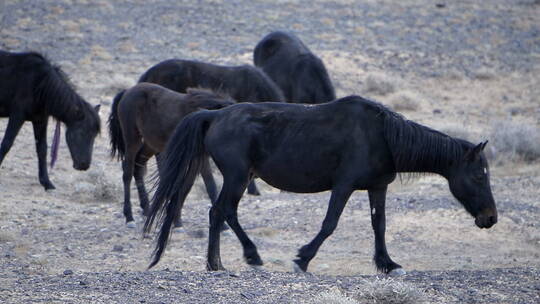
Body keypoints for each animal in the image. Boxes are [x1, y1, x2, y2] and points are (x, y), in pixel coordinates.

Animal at [0, 50, 101, 189]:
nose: (84, 165)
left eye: (95, 135)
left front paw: (46, 182)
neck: (40, 84)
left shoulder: (40, 120)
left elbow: (42, 149)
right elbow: (6, 143)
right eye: (81, 133)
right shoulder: (17, 116)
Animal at [109, 82, 234, 227]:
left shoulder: (197, 157)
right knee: (127, 173)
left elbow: (189, 186)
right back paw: (129, 217)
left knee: (138, 167)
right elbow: (209, 184)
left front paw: (176, 219)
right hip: (132, 140)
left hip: (151, 144)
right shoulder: (198, 157)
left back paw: (147, 209)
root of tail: (127, 91)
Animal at [144, 95, 498, 276]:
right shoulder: (343, 186)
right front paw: (303, 258)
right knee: (222, 212)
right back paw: (242, 258)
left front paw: (387, 264)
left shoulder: (377, 188)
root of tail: (213, 116)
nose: (490, 218)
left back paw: (219, 262)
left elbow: (380, 226)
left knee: (220, 214)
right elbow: (330, 224)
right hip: (237, 177)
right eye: (479, 175)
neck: (382, 136)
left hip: (238, 178)